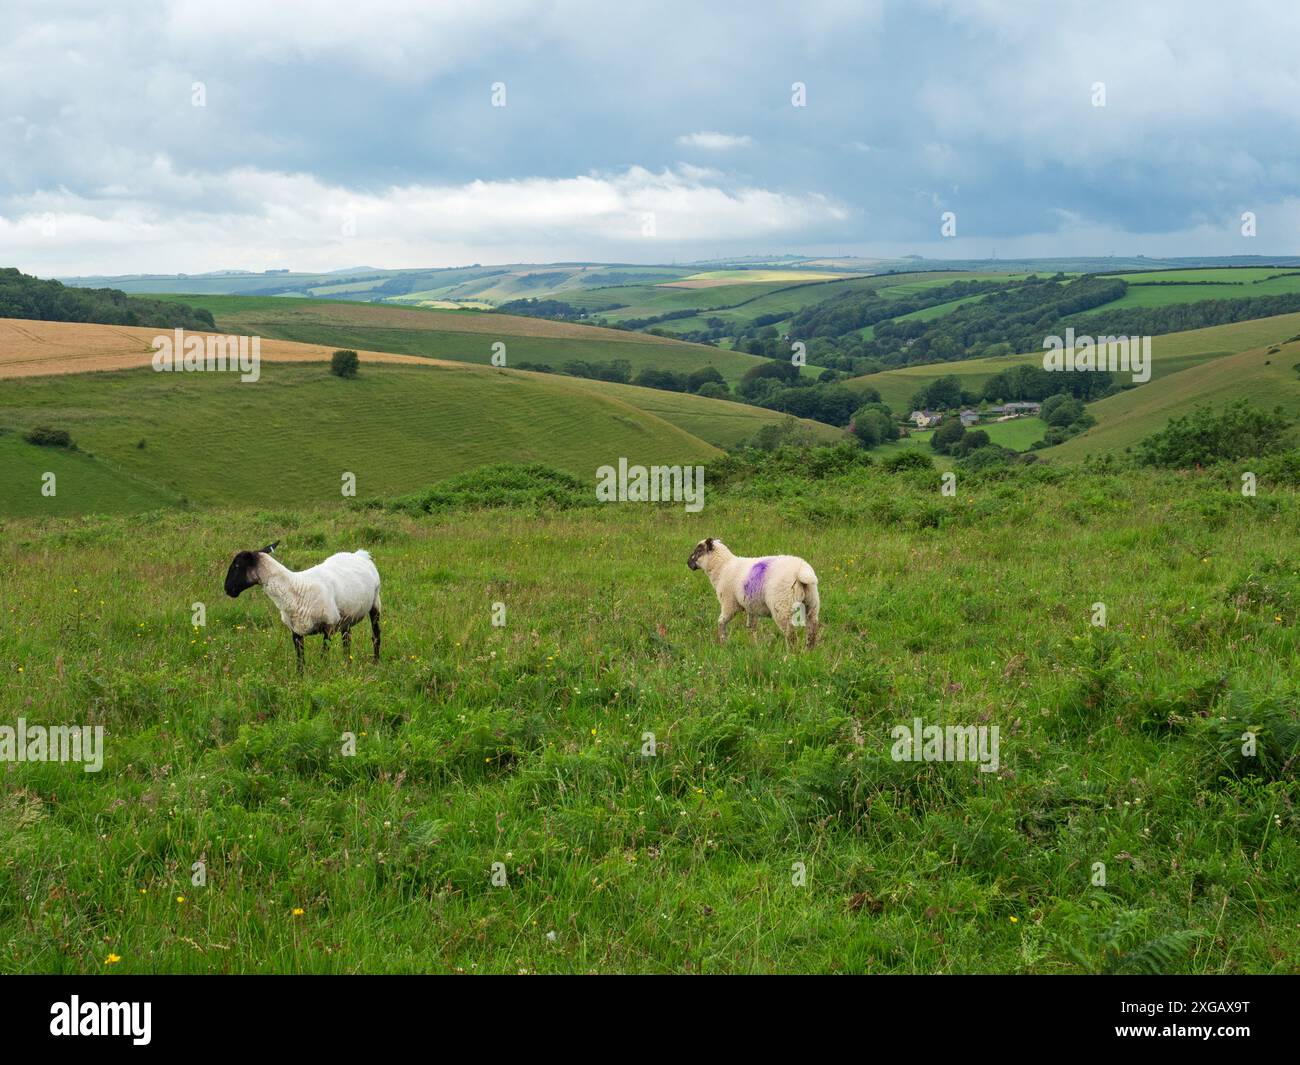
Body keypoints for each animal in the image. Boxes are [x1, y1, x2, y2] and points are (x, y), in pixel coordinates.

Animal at [224, 541, 382, 672]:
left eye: (237, 566)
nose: (227, 589)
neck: (295, 588)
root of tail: (360, 554)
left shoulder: (328, 626)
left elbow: (323, 656)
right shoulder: (296, 631)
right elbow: (300, 661)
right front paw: (300, 680)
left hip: (375, 602)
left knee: (375, 636)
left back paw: (375, 663)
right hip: (346, 617)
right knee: (347, 641)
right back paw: (347, 666)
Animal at [687, 537, 819, 649]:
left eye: (698, 550)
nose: (688, 563)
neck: (722, 567)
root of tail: (801, 571)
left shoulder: (729, 603)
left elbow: (721, 622)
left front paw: (723, 641)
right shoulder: (751, 606)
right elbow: (751, 627)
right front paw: (754, 646)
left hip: (782, 606)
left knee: (791, 634)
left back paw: (791, 655)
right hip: (812, 604)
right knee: (812, 630)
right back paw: (809, 651)